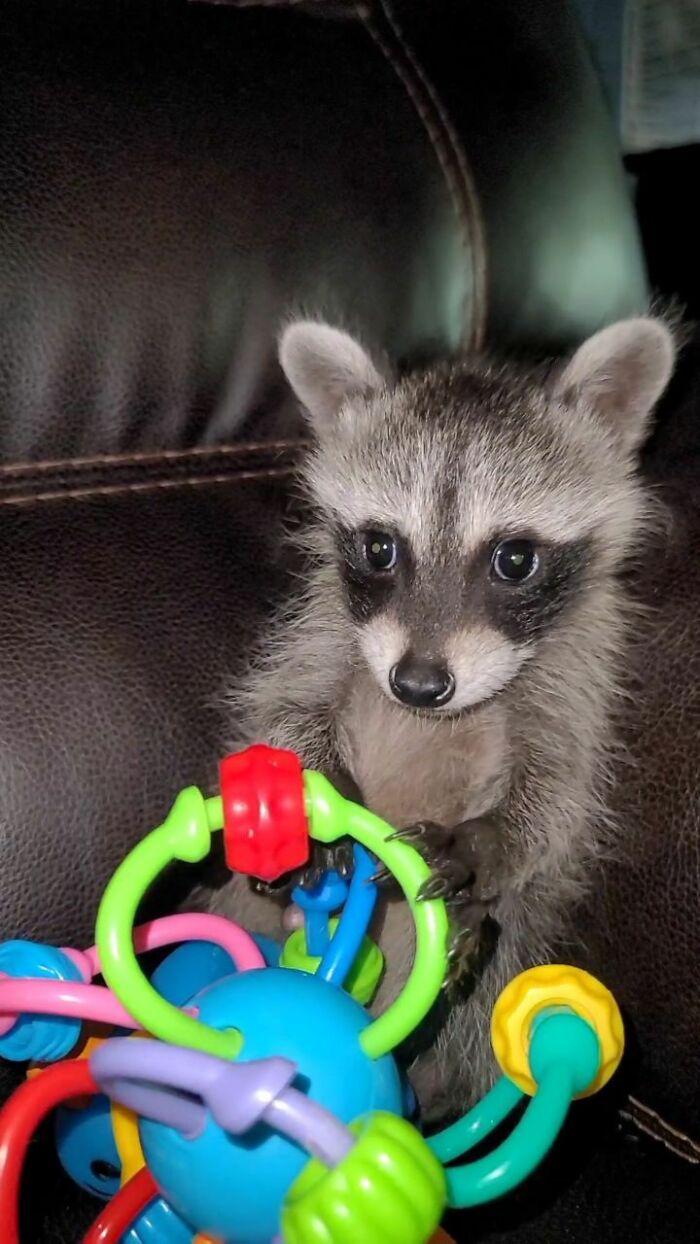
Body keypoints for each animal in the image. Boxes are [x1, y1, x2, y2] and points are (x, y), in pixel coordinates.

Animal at [211, 315, 675, 1119]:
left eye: (514, 558)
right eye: (379, 547)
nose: (419, 685)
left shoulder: (576, 673)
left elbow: (562, 792)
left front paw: (492, 839)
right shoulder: (327, 630)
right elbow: (287, 705)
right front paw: (307, 789)